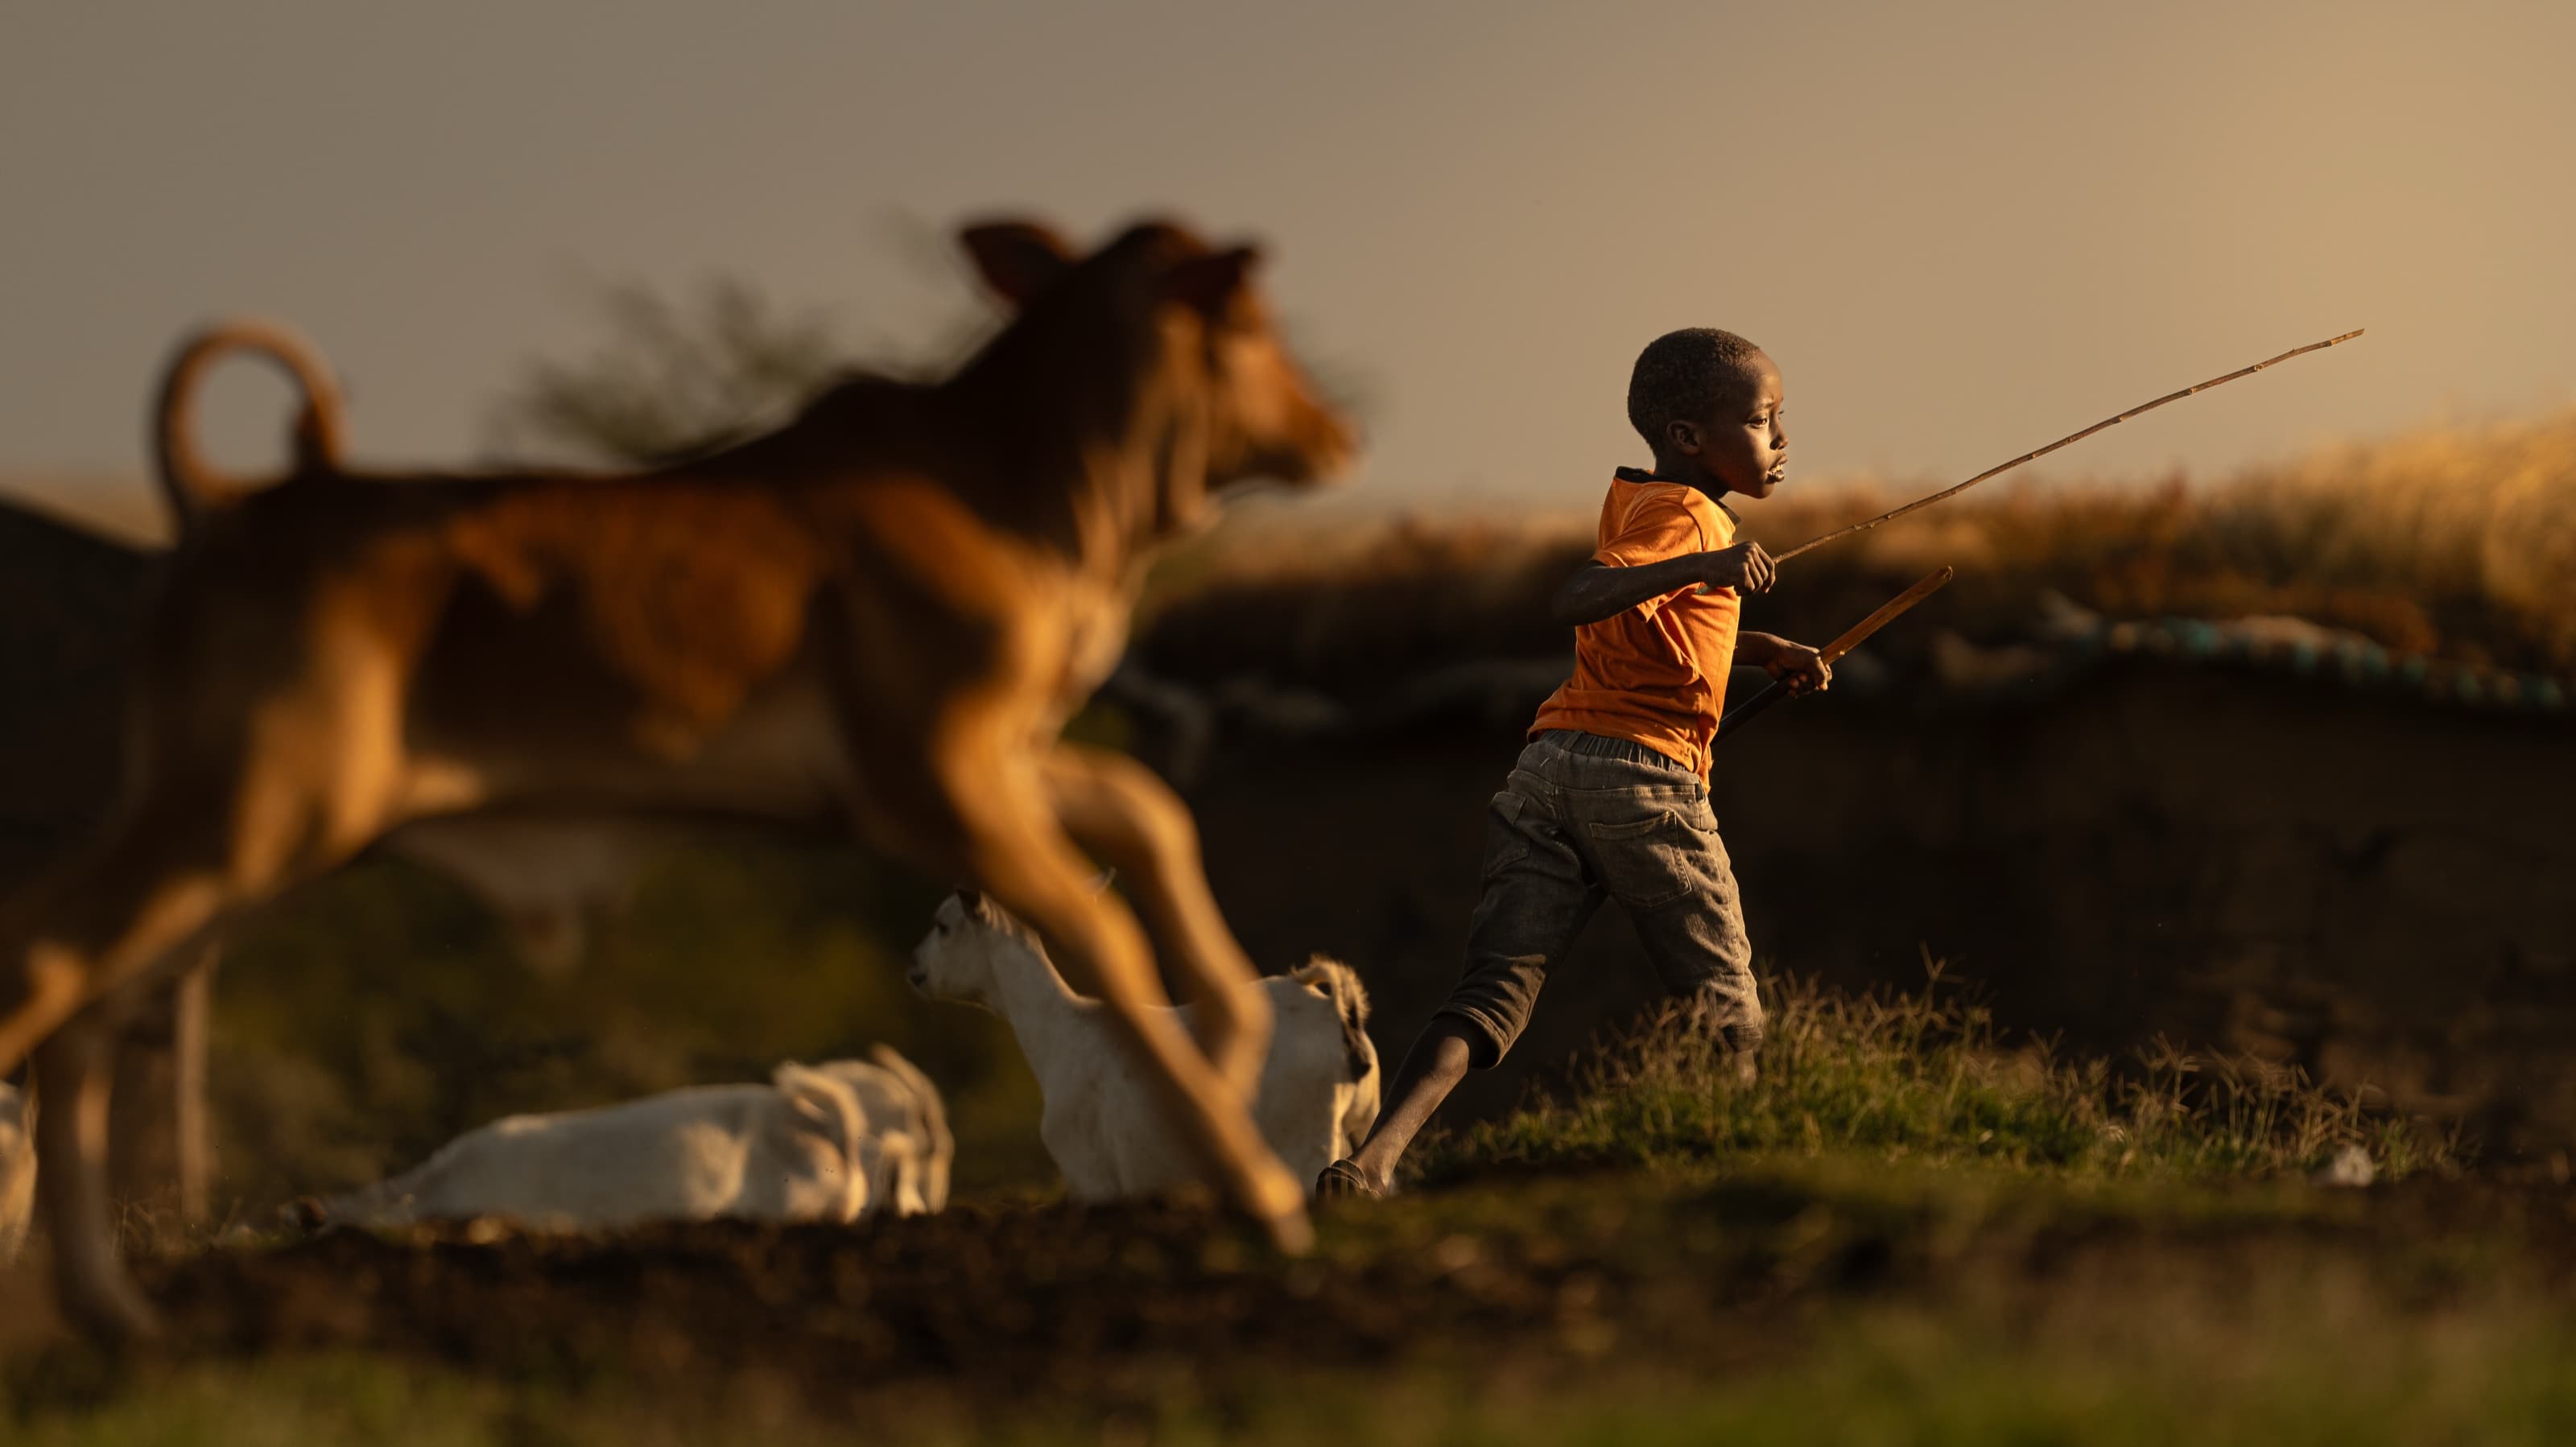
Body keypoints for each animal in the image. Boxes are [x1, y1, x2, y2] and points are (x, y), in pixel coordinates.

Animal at [912, 892, 1378, 1199]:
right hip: (1359, 1124)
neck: (1059, 1032)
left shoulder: (1091, 1175)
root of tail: (1337, 1014)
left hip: (1307, 1145)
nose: (914, 968)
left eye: (942, 925)